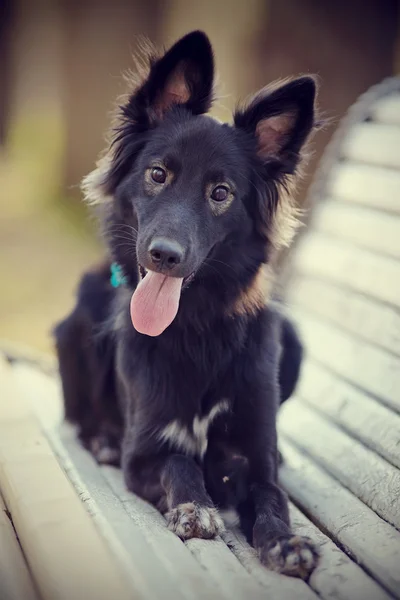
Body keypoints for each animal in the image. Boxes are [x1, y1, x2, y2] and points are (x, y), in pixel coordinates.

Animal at [54, 30, 320, 580]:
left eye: (221, 192)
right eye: (158, 174)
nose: (164, 255)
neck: (196, 326)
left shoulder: (254, 457)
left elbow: (272, 497)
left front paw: (285, 541)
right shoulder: (145, 452)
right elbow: (178, 462)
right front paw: (195, 506)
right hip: (79, 318)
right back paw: (102, 439)